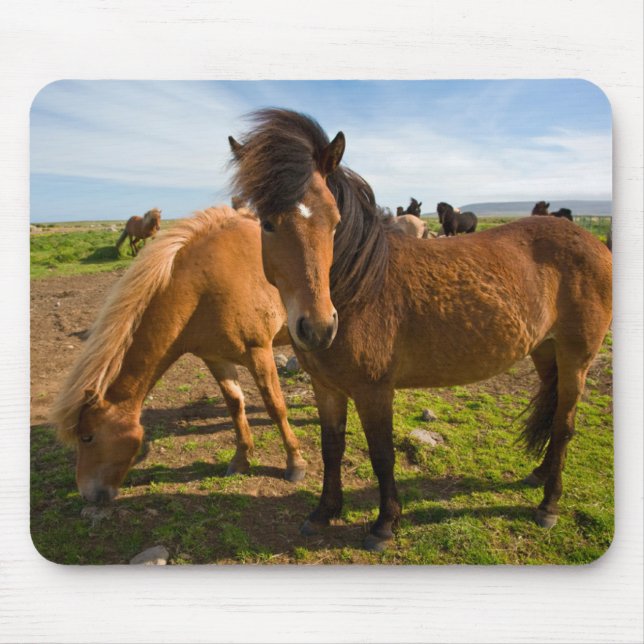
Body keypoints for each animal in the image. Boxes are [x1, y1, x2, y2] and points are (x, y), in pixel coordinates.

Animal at [51, 206, 307, 505]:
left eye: (88, 438)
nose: (87, 494)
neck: (204, 285)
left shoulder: (259, 352)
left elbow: (276, 407)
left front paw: (295, 463)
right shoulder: (215, 359)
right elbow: (235, 406)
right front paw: (241, 460)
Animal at [229, 109, 612, 552]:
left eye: (334, 221)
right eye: (267, 224)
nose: (319, 327)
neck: (360, 288)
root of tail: (594, 242)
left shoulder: (375, 390)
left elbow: (382, 455)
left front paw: (384, 524)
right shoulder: (326, 388)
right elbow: (331, 448)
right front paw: (324, 513)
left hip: (577, 357)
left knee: (565, 426)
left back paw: (549, 505)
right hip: (545, 351)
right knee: (554, 416)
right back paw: (538, 475)